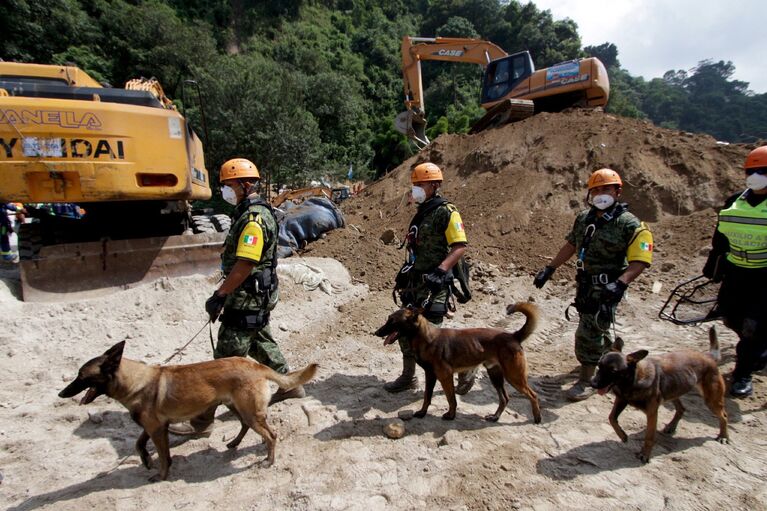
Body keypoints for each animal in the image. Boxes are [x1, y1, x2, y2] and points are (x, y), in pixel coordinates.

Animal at [58, 342, 318, 482]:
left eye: (81, 376)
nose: (61, 393)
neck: (136, 381)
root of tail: (256, 365)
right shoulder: (155, 426)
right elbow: (139, 443)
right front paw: (146, 459)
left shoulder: (156, 428)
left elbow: (163, 456)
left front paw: (160, 475)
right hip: (237, 407)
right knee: (247, 427)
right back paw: (235, 443)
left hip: (250, 412)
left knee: (271, 435)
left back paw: (269, 460)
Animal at [376, 300, 544, 424]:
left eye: (392, 321)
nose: (376, 332)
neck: (426, 338)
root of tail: (513, 336)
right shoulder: (430, 375)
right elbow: (427, 397)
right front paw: (423, 412)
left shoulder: (445, 376)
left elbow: (451, 398)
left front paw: (451, 415)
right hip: (495, 375)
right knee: (505, 398)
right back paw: (495, 417)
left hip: (514, 376)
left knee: (533, 395)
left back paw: (537, 418)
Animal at [592, 328, 728, 464]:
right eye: (599, 365)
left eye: (613, 371)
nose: (593, 383)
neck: (633, 381)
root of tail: (708, 356)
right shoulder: (621, 399)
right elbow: (611, 418)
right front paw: (623, 436)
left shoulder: (652, 413)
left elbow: (649, 436)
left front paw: (645, 454)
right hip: (674, 391)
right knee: (681, 408)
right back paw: (671, 426)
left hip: (711, 400)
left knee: (724, 416)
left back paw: (723, 436)